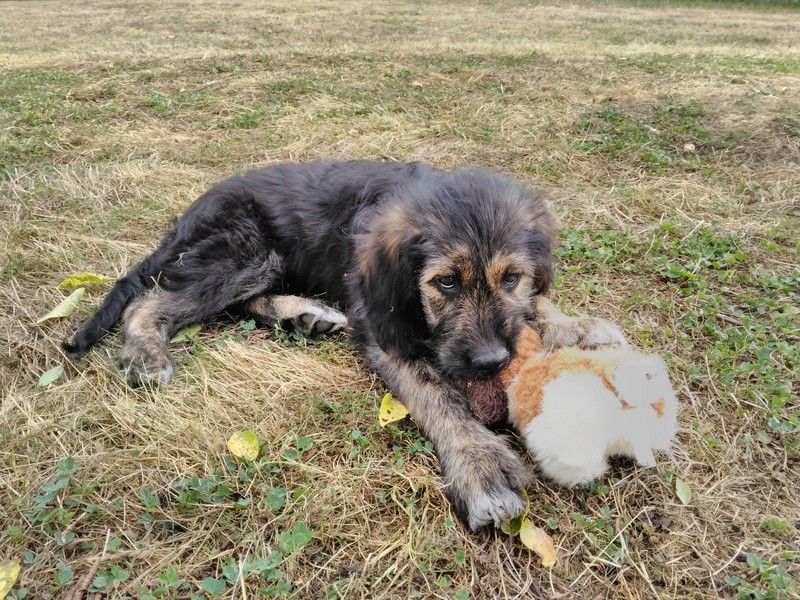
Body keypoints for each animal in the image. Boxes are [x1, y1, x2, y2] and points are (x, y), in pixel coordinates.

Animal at [64, 159, 624, 528]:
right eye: (445, 283)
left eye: (511, 278)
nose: (491, 362)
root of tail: (186, 215)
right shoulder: (384, 328)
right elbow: (435, 393)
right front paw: (479, 465)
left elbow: (536, 309)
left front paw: (577, 328)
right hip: (245, 247)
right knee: (151, 304)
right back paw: (147, 352)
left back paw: (304, 315)